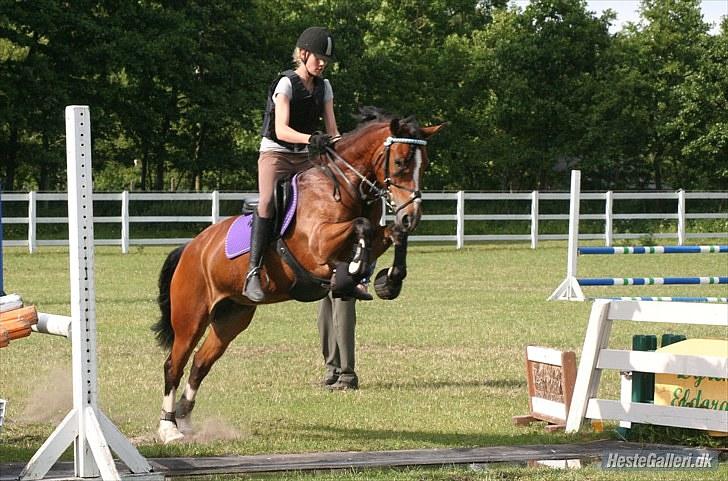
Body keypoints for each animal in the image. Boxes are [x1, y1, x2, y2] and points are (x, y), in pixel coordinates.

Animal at [152, 109, 444, 442]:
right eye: (400, 162)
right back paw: (169, 428)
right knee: (174, 364)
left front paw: (387, 279)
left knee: (201, 363)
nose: (412, 215)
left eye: (424, 163)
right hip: (191, 317)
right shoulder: (318, 245)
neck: (344, 187)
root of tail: (190, 248)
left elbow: (390, 233)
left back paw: (185, 418)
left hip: (232, 317)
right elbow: (362, 227)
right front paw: (353, 273)